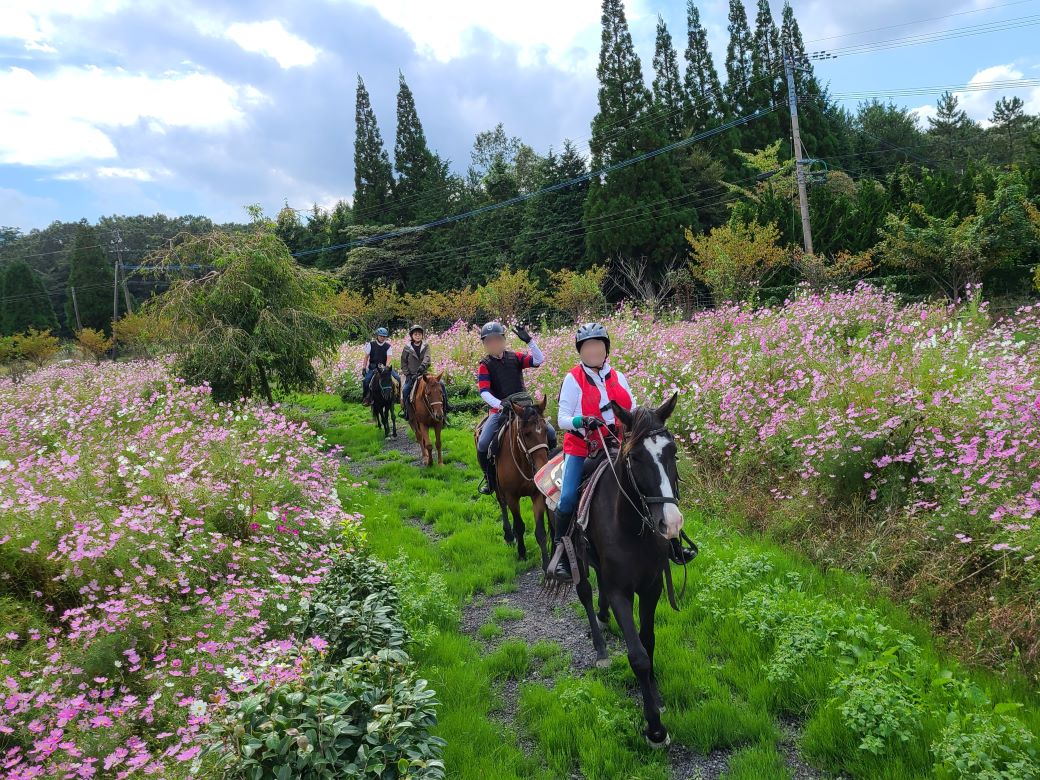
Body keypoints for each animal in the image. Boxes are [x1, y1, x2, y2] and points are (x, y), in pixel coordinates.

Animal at [478, 397, 557, 569]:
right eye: (527, 433)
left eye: (545, 431)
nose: (542, 468)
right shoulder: (512, 497)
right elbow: (520, 526)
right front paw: (521, 553)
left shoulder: (536, 495)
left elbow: (540, 531)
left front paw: (546, 563)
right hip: (497, 487)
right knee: (502, 504)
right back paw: (508, 535)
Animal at [569, 397, 682, 752]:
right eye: (635, 457)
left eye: (672, 452)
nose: (671, 523)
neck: (632, 528)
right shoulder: (622, 592)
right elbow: (638, 656)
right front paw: (655, 729)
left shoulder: (651, 587)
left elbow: (649, 641)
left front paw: (656, 697)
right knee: (585, 592)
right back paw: (601, 648)